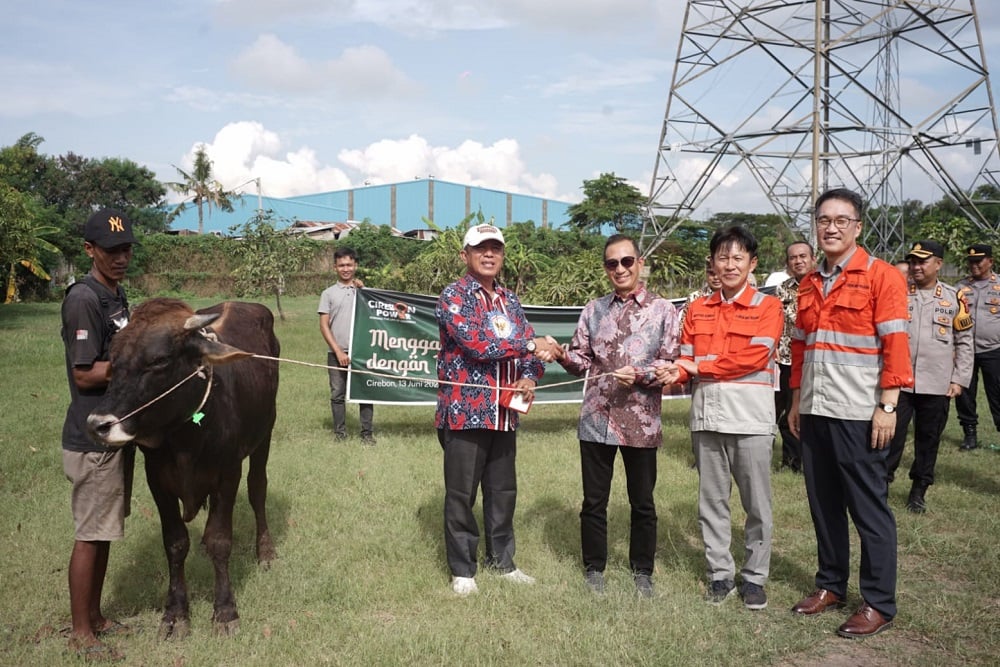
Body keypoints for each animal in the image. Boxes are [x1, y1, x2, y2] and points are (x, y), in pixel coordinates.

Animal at [86, 298, 280, 640]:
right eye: (112, 360)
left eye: (159, 360)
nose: (98, 425)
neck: (186, 438)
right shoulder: (158, 482)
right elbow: (175, 544)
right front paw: (176, 613)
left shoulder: (227, 476)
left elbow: (221, 540)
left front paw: (225, 611)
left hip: (265, 433)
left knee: (258, 490)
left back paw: (265, 551)